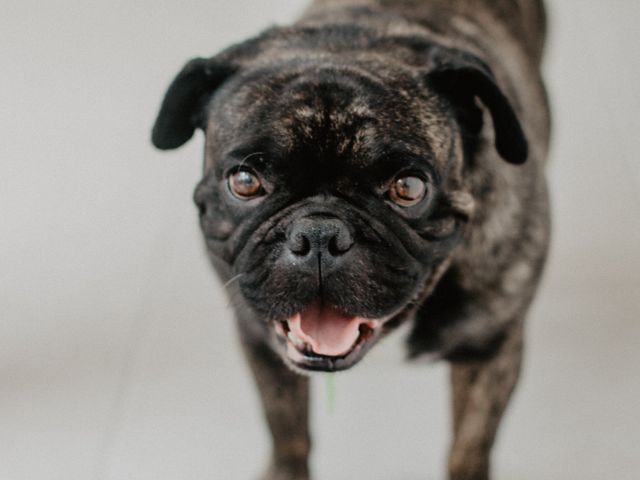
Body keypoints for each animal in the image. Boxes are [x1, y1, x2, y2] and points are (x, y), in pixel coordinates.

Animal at [151, 0, 552, 480]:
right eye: (245, 182)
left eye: (409, 187)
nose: (319, 234)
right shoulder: (262, 350)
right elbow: (286, 431)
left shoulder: (490, 354)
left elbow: (469, 450)